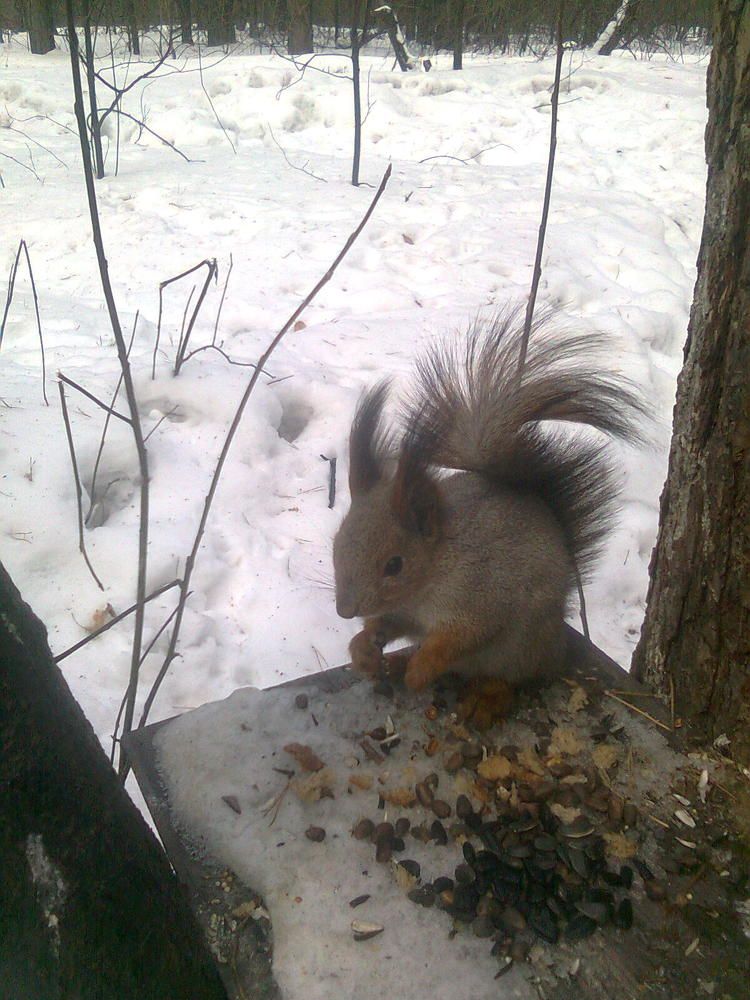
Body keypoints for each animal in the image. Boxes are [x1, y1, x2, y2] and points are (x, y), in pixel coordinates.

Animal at [332, 312, 647, 720]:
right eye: (336, 547)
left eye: (395, 565)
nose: (344, 611)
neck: (434, 570)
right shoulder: (406, 612)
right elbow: (389, 623)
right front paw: (364, 644)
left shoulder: (483, 593)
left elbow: (460, 637)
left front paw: (421, 669)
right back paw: (396, 663)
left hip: (521, 648)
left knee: (510, 679)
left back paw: (482, 698)